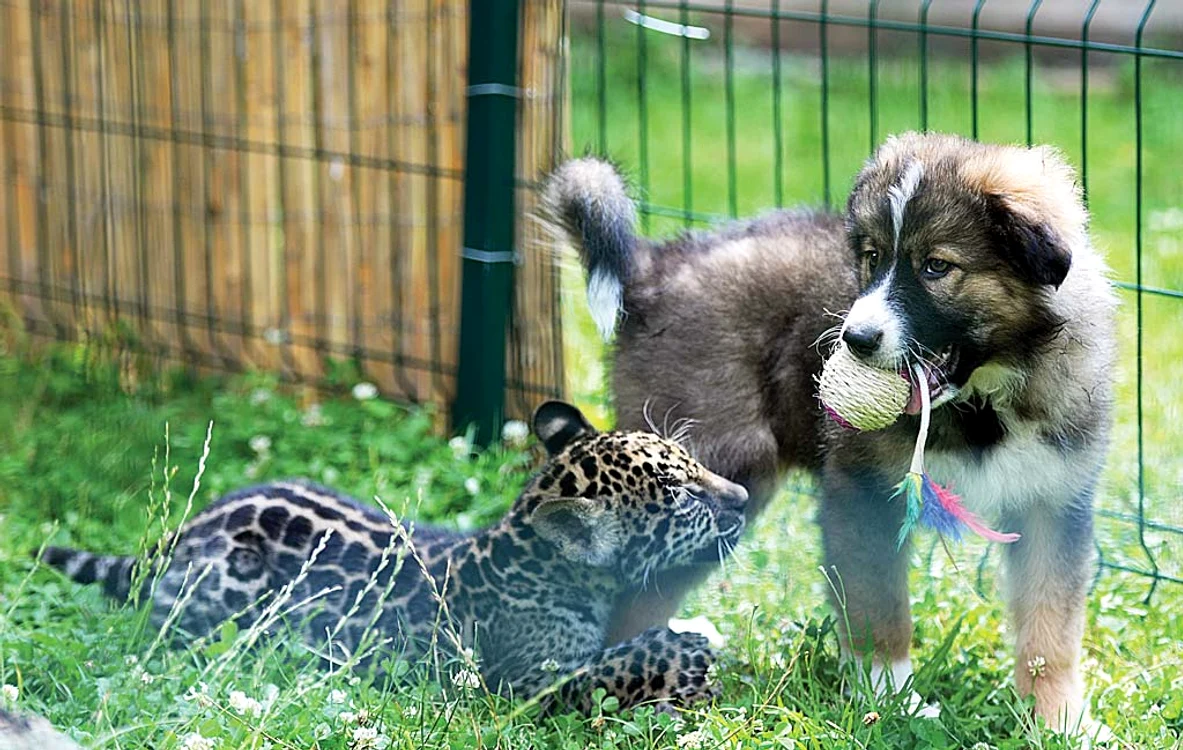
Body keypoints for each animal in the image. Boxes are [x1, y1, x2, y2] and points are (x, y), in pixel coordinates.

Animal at [42, 400, 749, 714]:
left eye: (697, 466)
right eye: (682, 497)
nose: (742, 500)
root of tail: (175, 538)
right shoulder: (521, 682)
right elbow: (607, 667)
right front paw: (686, 653)